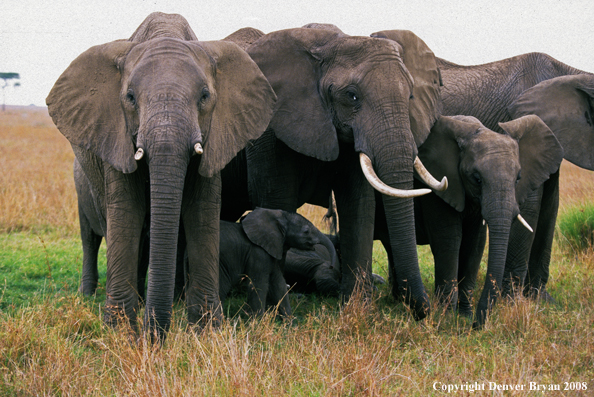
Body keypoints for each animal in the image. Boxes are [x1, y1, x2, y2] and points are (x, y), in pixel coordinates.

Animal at [46, 11, 276, 338]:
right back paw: (92, 296)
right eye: (130, 97)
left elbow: (202, 210)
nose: (153, 338)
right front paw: (119, 331)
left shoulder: (219, 132)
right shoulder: (115, 132)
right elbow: (126, 210)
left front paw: (206, 331)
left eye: (205, 96)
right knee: (92, 235)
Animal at [372, 114, 560, 324]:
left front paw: (464, 316)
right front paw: (446, 318)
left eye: (518, 178)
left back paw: (398, 300)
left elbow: (474, 244)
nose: (477, 324)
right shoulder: (439, 190)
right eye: (477, 179)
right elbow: (448, 242)